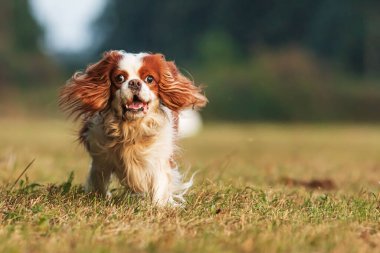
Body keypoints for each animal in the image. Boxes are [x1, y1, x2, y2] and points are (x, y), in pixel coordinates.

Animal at [59, 50, 208, 206]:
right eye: (120, 78)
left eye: (149, 79)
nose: (135, 83)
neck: (131, 128)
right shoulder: (100, 159)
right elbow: (99, 181)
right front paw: (97, 199)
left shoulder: (159, 157)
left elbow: (160, 185)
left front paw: (158, 206)